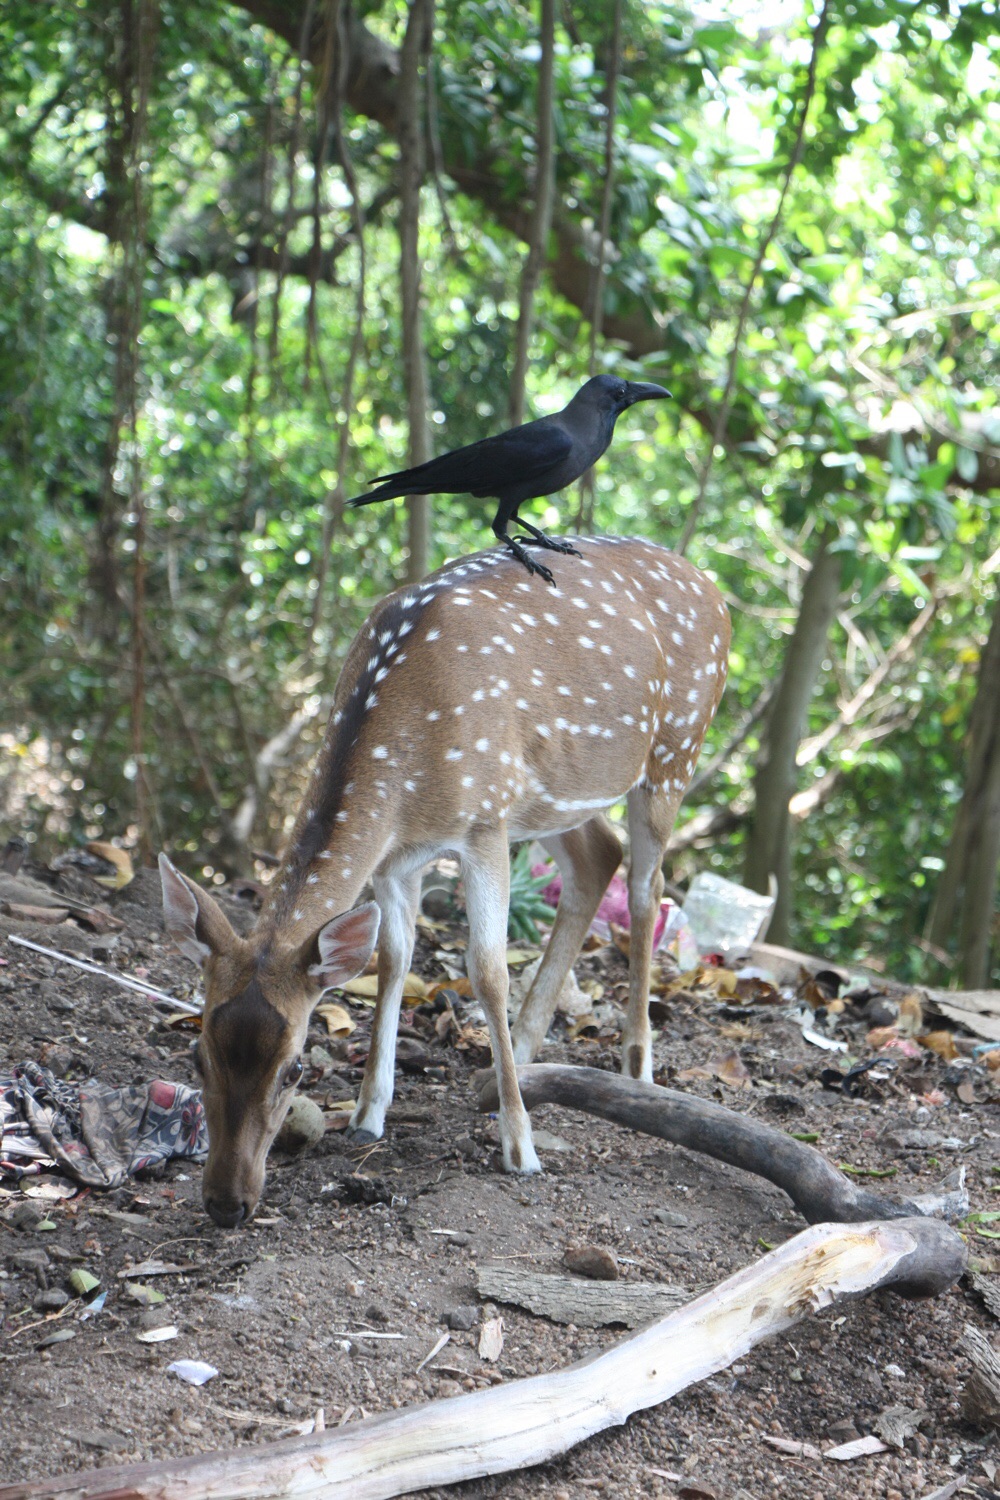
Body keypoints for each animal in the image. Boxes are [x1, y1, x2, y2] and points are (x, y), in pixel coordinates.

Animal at [160, 534, 731, 1224]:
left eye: (295, 1069)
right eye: (196, 1052)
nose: (226, 1203)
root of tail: (714, 590)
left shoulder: (484, 820)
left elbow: (487, 968)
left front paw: (520, 1147)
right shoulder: (396, 855)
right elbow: (394, 956)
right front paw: (367, 1112)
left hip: (674, 752)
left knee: (650, 889)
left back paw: (637, 1064)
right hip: (553, 796)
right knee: (599, 855)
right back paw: (527, 1049)